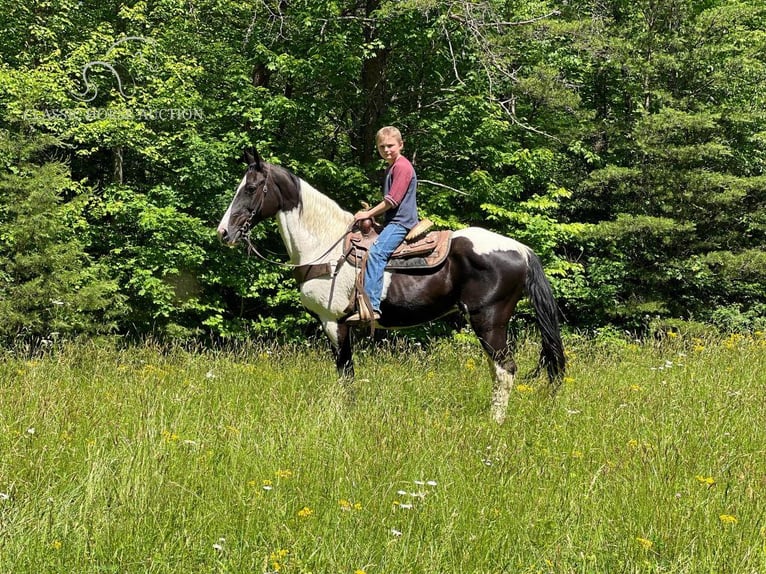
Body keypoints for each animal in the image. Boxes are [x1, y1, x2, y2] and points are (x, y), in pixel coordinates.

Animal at [219, 151, 568, 426]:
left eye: (251, 188)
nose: (224, 232)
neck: (325, 247)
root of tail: (522, 250)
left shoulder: (334, 323)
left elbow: (345, 372)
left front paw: (345, 415)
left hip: (489, 320)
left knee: (505, 369)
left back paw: (495, 423)